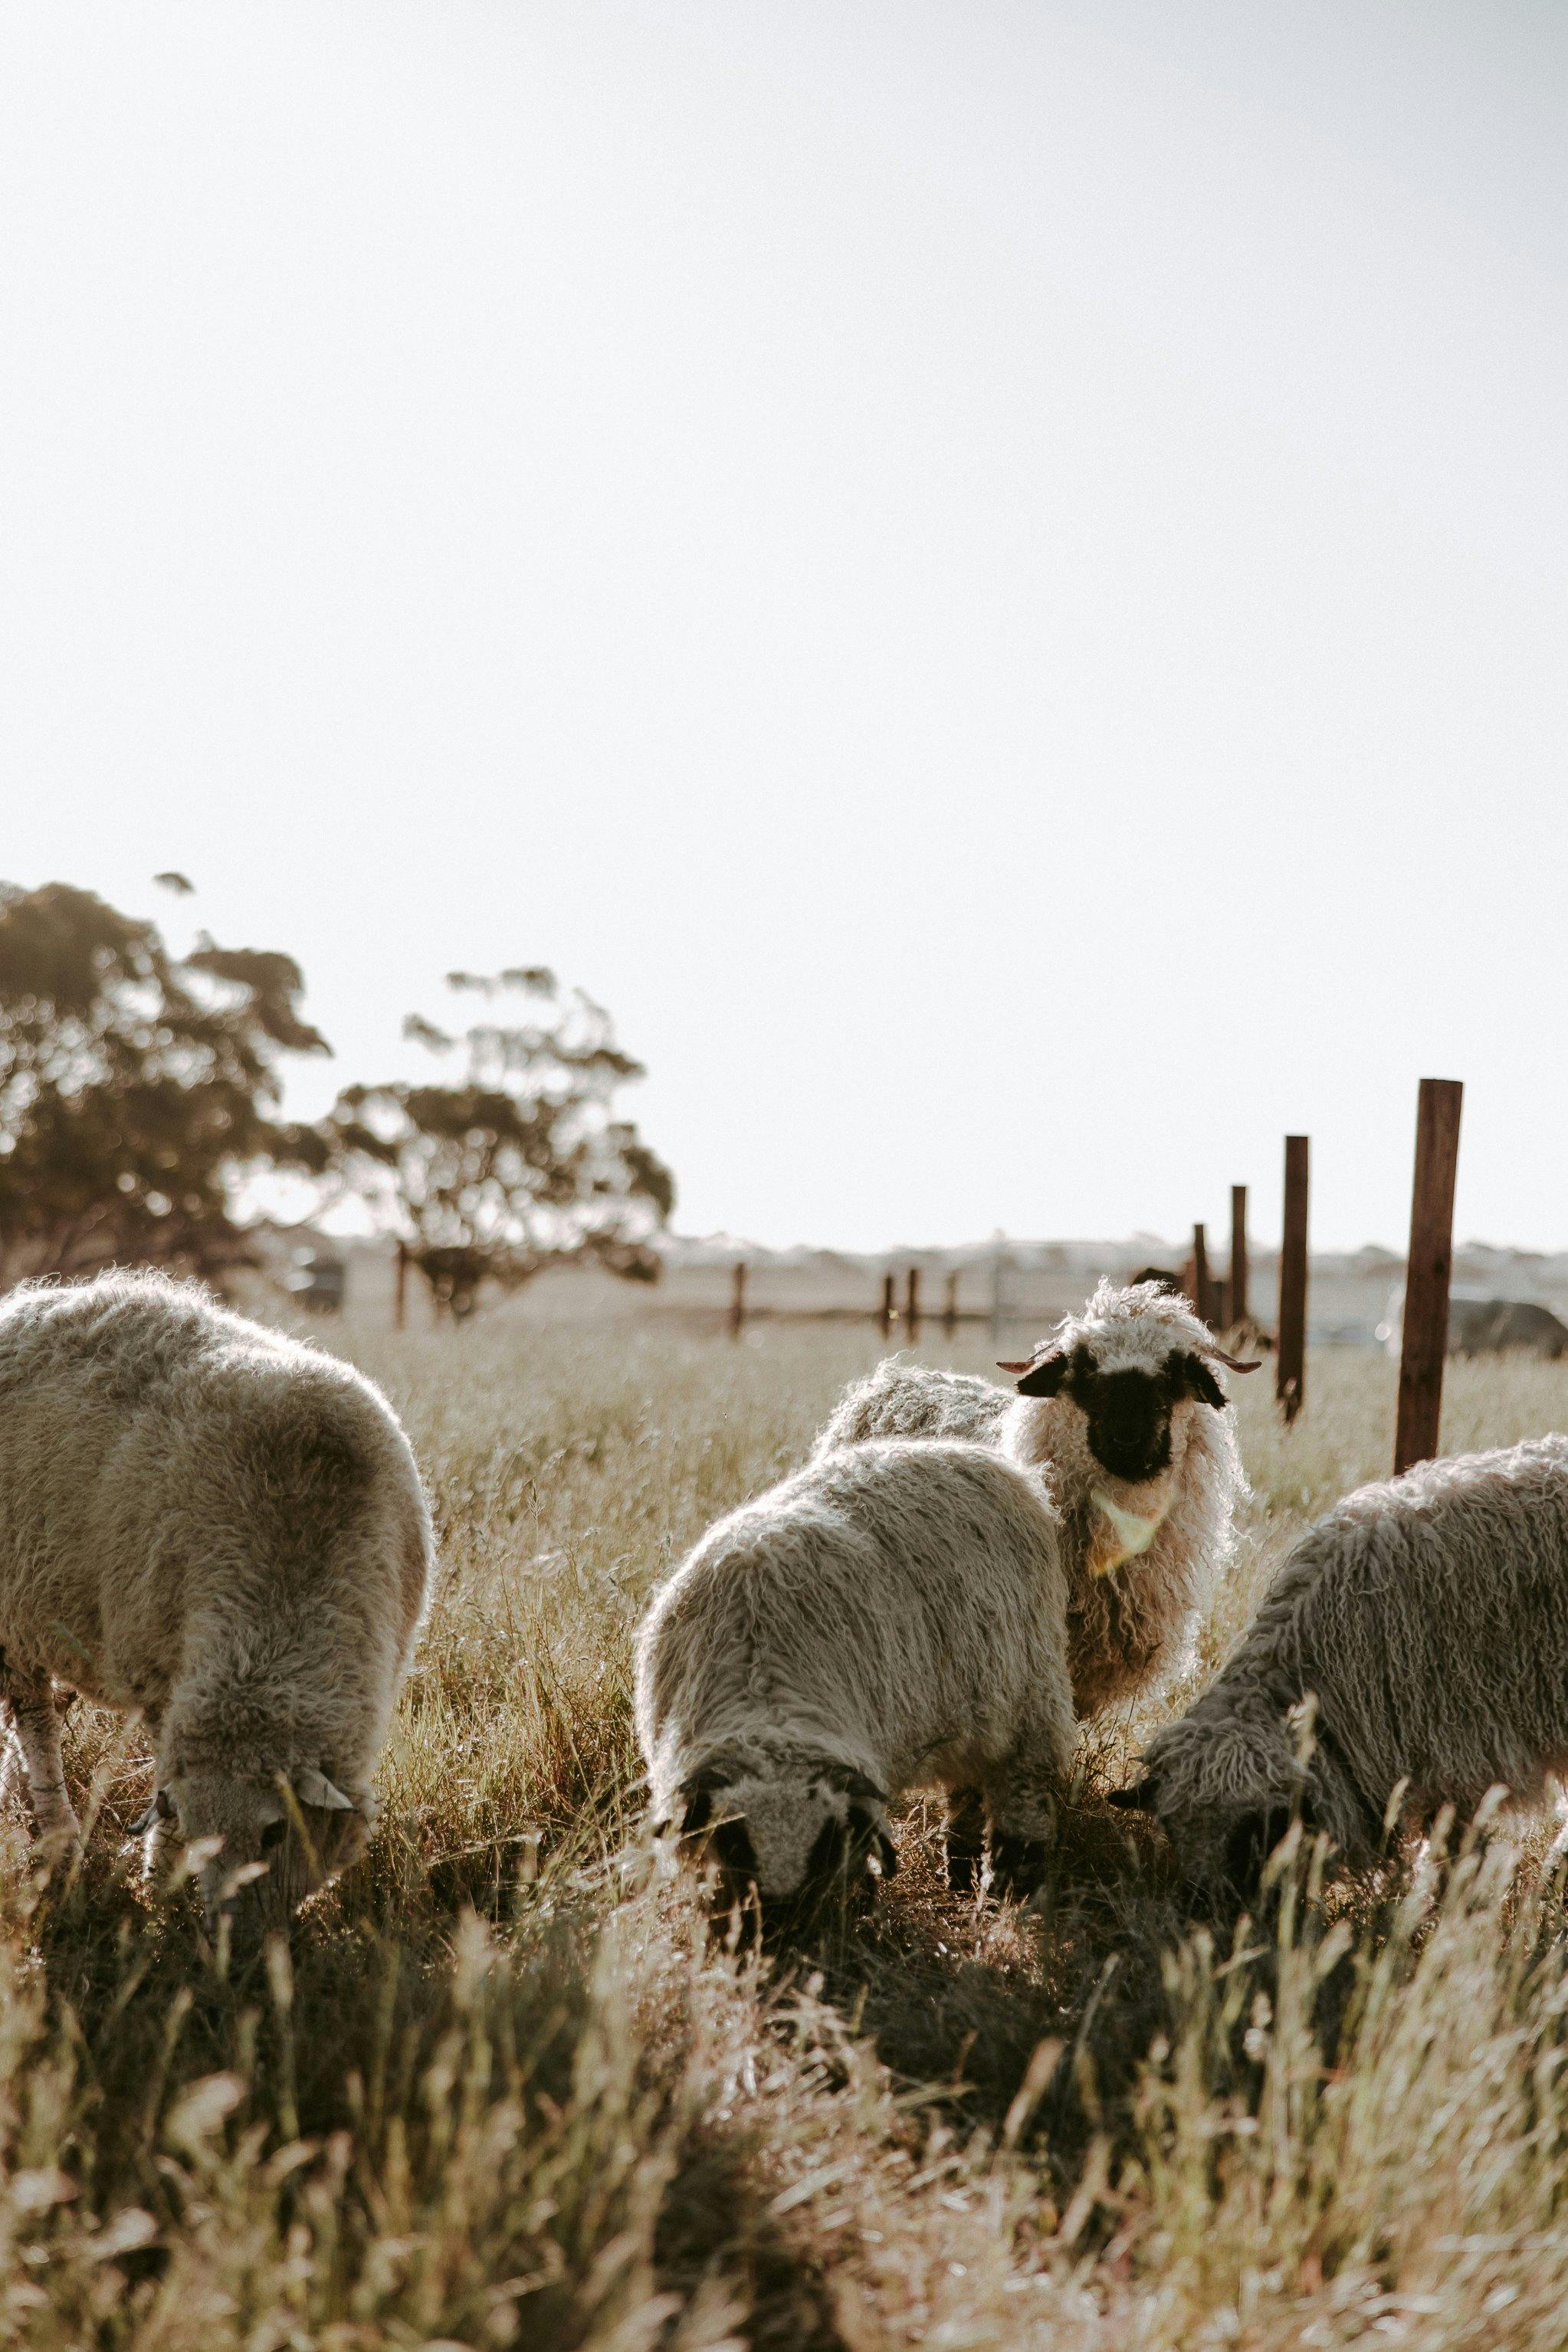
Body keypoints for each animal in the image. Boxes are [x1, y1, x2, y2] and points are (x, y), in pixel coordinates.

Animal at [0, 1270, 434, 1927]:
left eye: (277, 1831)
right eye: (202, 1833)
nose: (237, 1937)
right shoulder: (162, 1678)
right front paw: (157, 1885)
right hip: (13, 1616)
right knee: (36, 1724)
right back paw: (58, 1837)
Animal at [634, 1437, 1077, 1925]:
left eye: (824, 1847)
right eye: (735, 1846)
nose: (781, 1928)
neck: (766, 1694)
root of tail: (971, 1453)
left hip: (1029, 1700)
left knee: (1021, 1797)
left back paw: (1007, 1893)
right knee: (967, 1791)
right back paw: (960, 1870)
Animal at [1109, 1435, 1568, 1903]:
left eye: (1254, 1830)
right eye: (1171, 1829)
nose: (1203, 1908)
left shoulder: (1459, 1751)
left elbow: (1457, 1849)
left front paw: (1454, 1910)